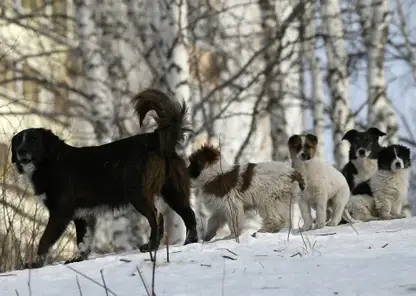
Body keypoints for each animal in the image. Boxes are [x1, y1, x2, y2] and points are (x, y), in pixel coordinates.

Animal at [10, 88, 198, 268]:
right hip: (173, 191)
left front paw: (34, 264)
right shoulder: (82, 215)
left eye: (33, 139)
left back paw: (151, 246)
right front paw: (78, 258)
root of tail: (155, 138)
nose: (20, 151)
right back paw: (191, 241)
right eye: (18, 141)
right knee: (189, 214)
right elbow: (83, 240)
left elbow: (45, 240)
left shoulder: (60, 213)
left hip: (138, 193)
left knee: (157, 217)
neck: (50, 162)